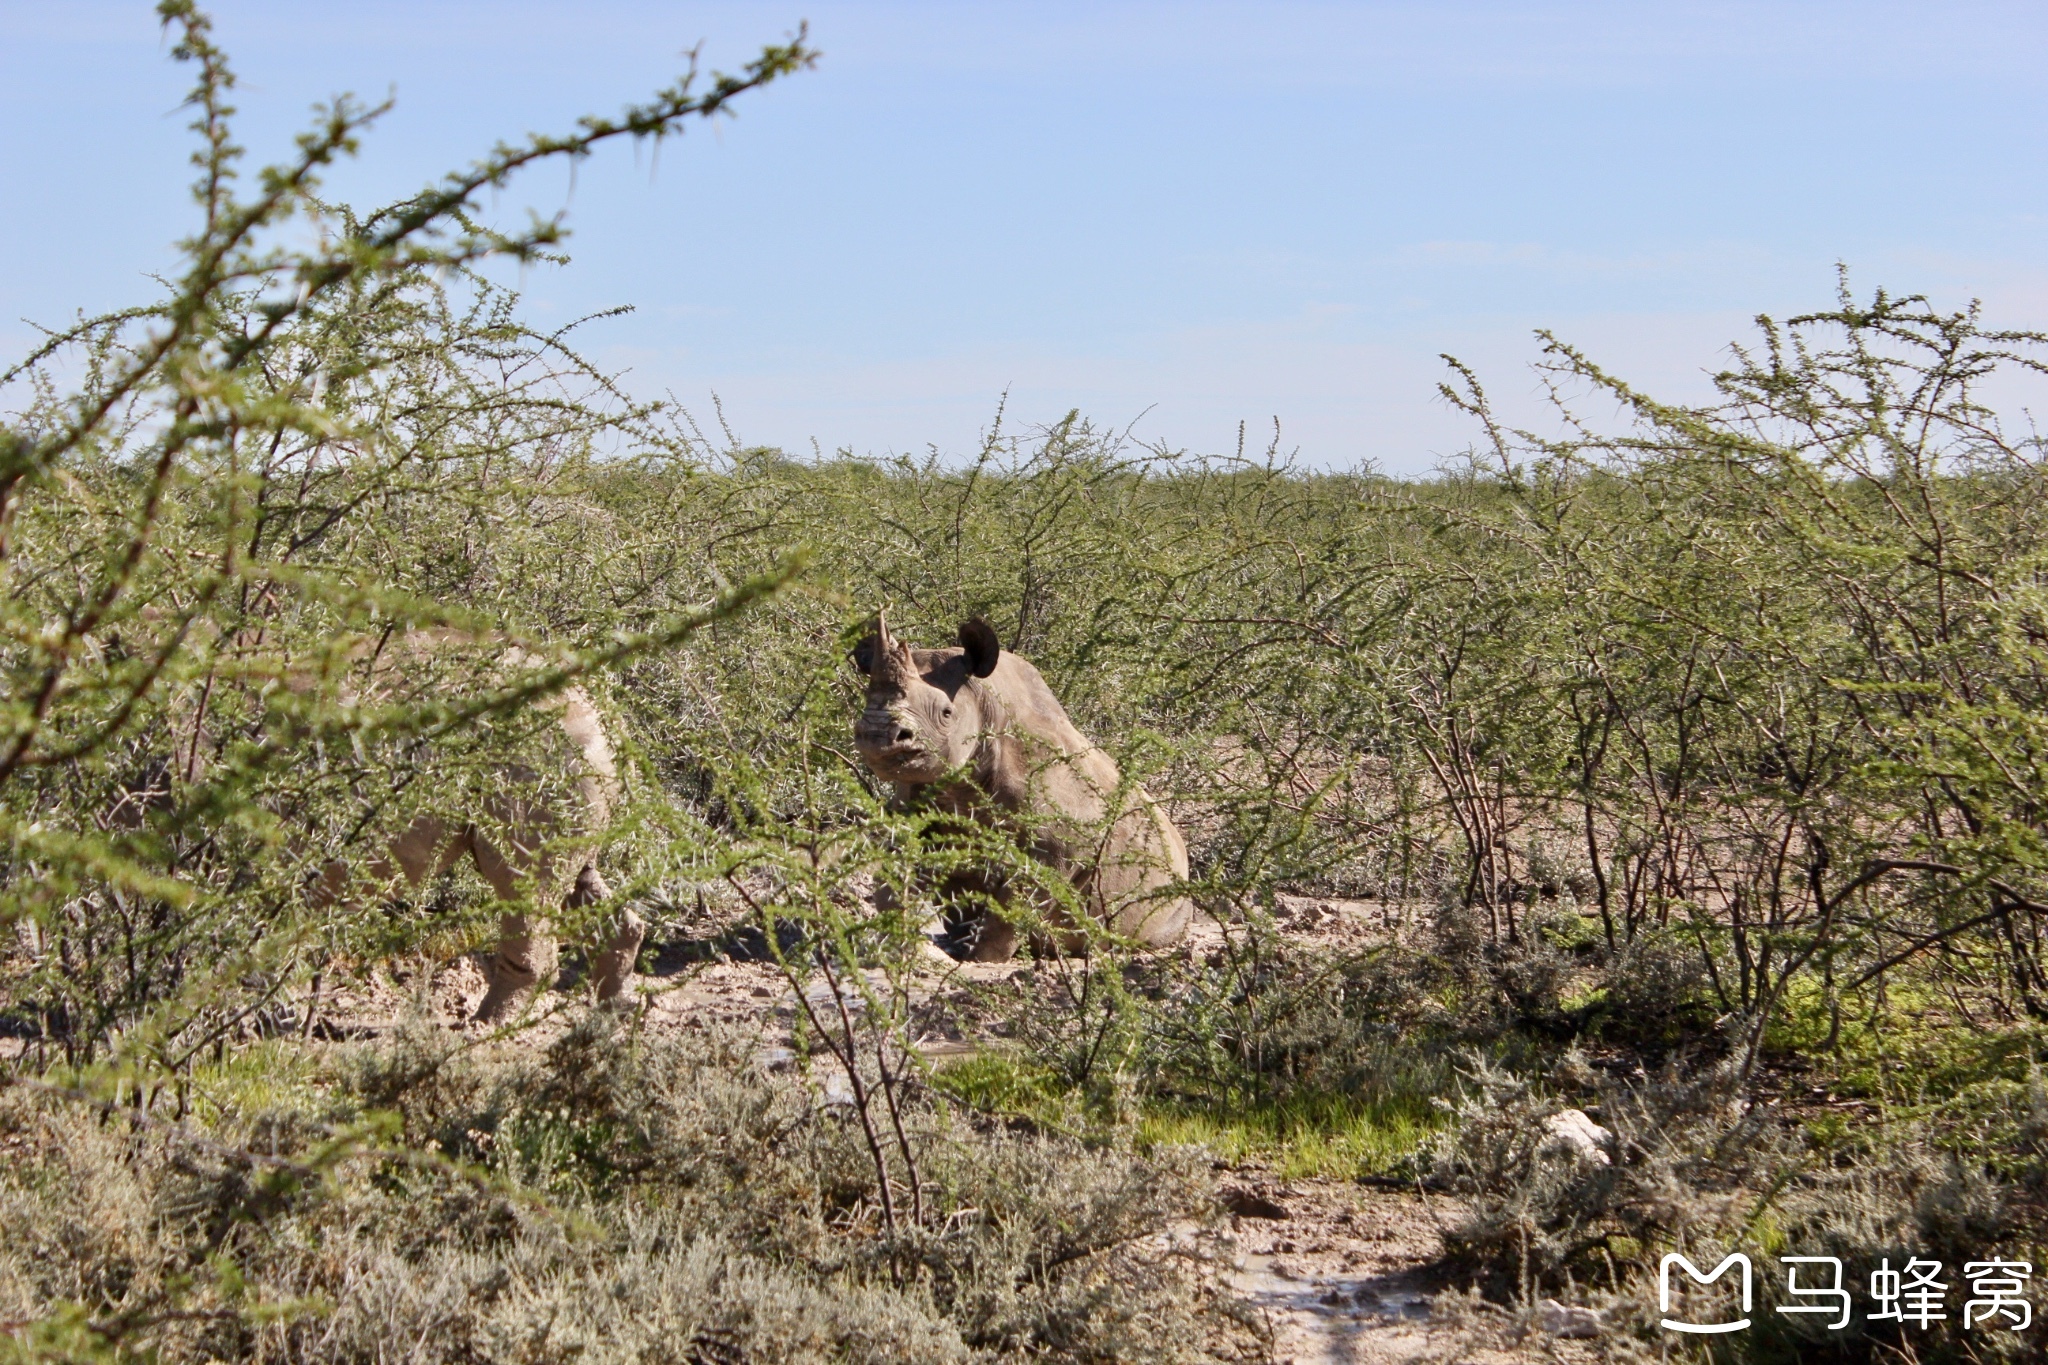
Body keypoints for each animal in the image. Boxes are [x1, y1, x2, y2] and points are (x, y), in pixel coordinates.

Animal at [851, 618, 1196, 961]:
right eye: (865, 703)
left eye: (946, 714)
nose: (877, 733)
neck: (984, 703)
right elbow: (893, 874)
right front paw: (895, 944)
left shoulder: (1062, 844)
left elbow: (1016, 901)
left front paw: (980, 959)